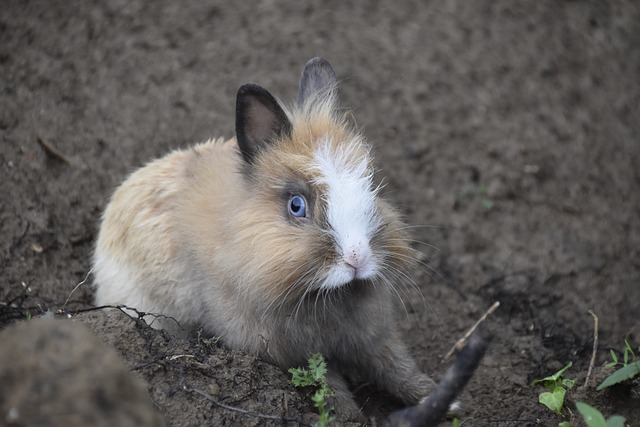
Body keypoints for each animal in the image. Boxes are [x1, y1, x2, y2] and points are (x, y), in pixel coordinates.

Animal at [92, 56, 438, 422]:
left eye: (370, 187)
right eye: (296, 205)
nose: (357, 257)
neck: (328, 295)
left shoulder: (373, 336)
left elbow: (395, 365)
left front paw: (436, 396)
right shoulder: (292, 352)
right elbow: (330, 385)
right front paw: (351, 417)